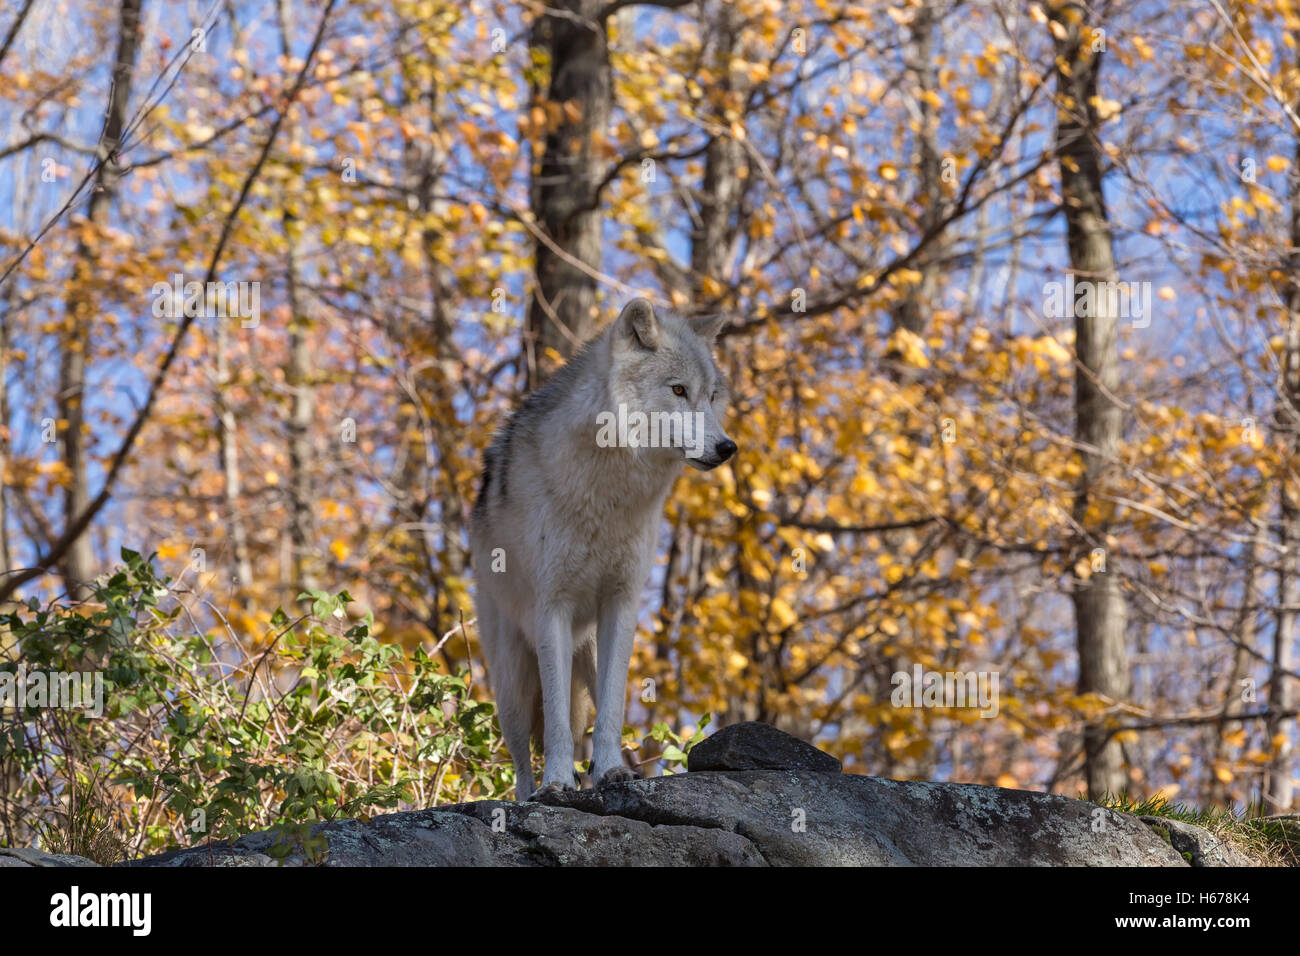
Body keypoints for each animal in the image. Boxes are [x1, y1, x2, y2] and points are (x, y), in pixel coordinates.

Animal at [470, 299, 738, 801]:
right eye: (678, 390)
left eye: (711, 396)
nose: (728, 447)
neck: (610, 491)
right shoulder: (551, 607)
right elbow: (555, 723)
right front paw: (558, 782)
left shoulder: (622, 602)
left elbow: (612, 710)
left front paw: (611, 772)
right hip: (511, 681)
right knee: (519, 753)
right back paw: (529, 794)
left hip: (587, 651)